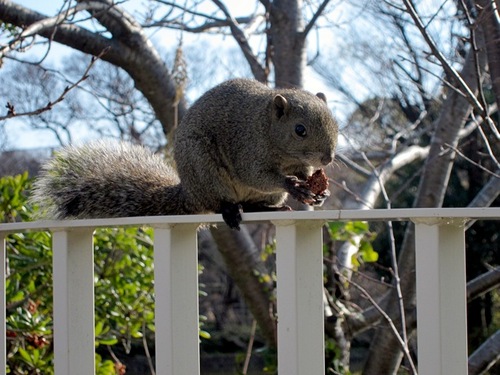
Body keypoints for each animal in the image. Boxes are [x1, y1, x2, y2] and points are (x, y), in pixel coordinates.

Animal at [32, 79, 340, 229]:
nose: (328, 158)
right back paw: (231, 210)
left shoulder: (298, 163)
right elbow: (257, 175)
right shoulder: (247, 147)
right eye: (300, 129)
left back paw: (268, 208)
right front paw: (294, 185)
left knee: (253, 204)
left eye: (335, 122)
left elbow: (304, 173)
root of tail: (190, 192)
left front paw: (318, 190)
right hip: (205, 168)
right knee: (221, 203)